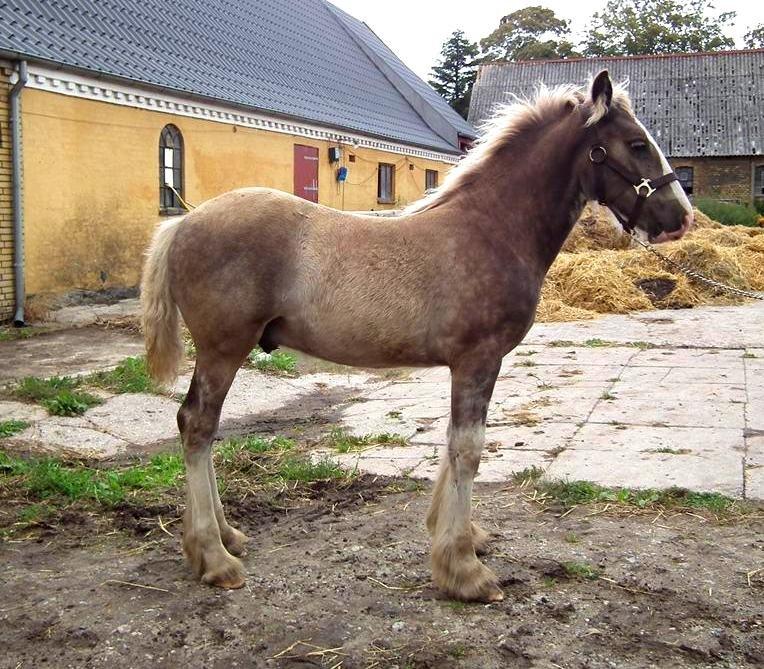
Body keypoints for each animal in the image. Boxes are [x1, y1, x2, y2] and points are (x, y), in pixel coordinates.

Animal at [142, 70, 692, 604]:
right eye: (636, 143)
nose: (680, 218)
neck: (491, 228)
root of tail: (183, 223)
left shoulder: (468, 365)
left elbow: (453, 442)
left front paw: (461, 538)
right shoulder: (478, 360)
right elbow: (469, 449)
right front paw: (465, 570)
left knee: (201, 428)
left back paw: (226, 536)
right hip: (222, 349)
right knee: (197, 426)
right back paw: (213, 557)